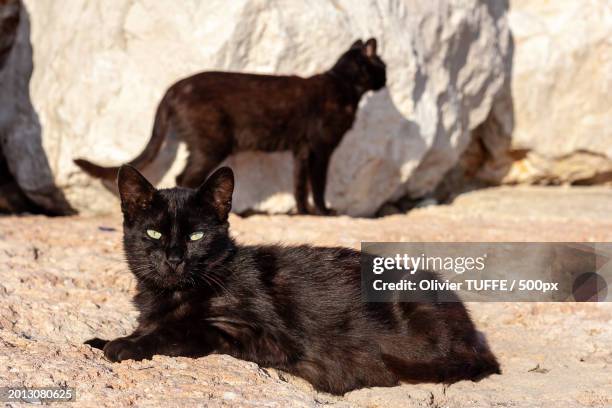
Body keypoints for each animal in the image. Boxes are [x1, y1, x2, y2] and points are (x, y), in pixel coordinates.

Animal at [73, 38, 388, 217]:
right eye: (383, 66)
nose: (386, 79)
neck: (343, 85)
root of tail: (175, 87)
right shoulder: (322, 149)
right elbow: (318, 183)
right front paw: (323, 212)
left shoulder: (302, 150)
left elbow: (300, 184)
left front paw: (305, 212)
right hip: (213, 143)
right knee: (185, 176)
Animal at [85, 165, 498, 396]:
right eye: (153, 234)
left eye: (196, 236)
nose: (173, 259)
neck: (170, 294)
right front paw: (102, 339)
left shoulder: (254, 334)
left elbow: (175, 332)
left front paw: (124, 345)